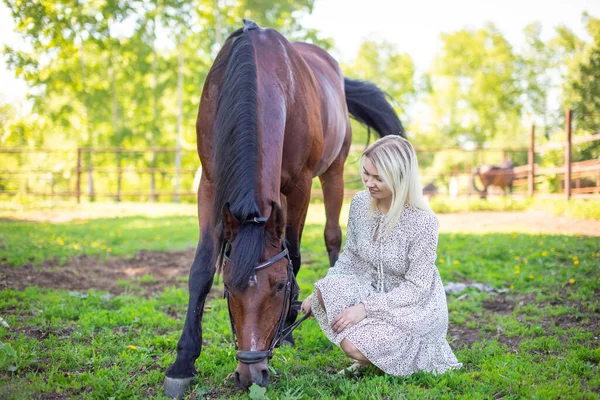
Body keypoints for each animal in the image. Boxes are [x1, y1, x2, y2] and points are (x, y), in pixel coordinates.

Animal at [164, 19, 404, 396]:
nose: (251, 373)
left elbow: (294, 253)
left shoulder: (300, 184)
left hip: (332, 173)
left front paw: (289, 328)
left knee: (332, 236)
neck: (256, 72)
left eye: (278, 286)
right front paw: (183, 362)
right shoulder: (210, 184)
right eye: (228, 286)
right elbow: (201, 268)